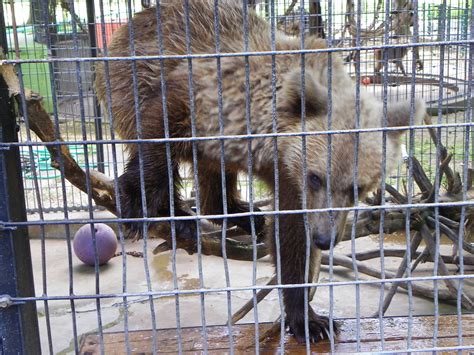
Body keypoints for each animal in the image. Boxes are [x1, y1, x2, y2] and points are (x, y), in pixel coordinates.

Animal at [94, 0, 424, 344]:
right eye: (316, 177)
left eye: (357, 188)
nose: (324, 239)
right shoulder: (200, 92)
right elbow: (160, 133)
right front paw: (136, 200)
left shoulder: (290, 180)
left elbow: (292, 236)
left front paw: (308, 318)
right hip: (126, 80)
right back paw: (179, 217)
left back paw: (244, 214)